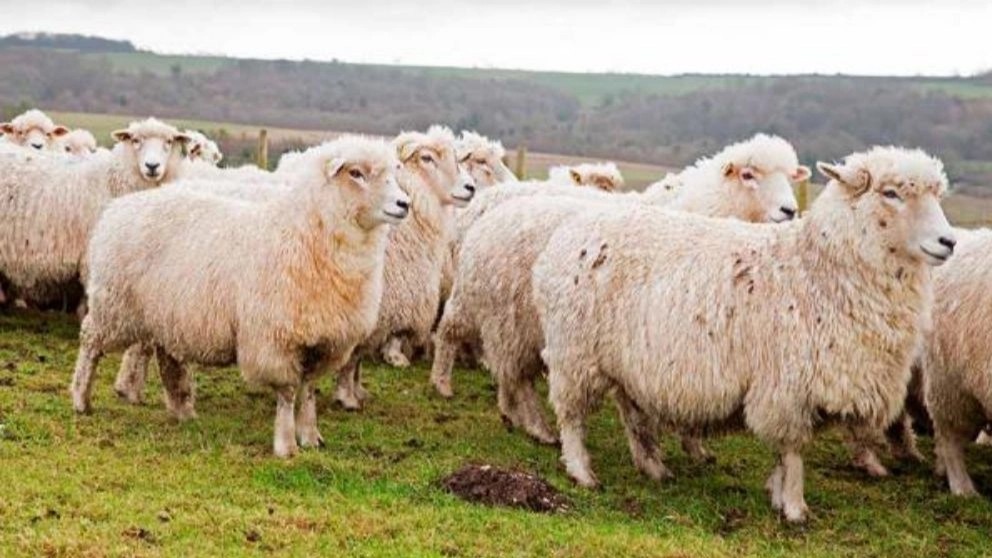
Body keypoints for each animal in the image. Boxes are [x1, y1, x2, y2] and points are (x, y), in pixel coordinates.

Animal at [70, 135, 410, 457]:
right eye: (356, 173)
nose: (404, 204)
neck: (304, 233)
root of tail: (118, 209)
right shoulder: (275, 339)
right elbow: (288, 392)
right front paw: (286, 445)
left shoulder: (325, 340)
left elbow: (309, 390)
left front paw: (311, 437)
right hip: (114, 305)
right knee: (90, 343)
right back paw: (81, 399)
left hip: (168, 314)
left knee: (169, 360)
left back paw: (182, 411)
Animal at [333, 125, 476, 409]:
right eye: (427, 158)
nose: (471, 187)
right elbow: (353, 358)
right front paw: (347, 397)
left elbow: (359, 359)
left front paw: (358, 392)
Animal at [431, 135, 810, 449]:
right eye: (748, 175)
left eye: (791, 177)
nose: (790, 211)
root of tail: (491, 201)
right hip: (491, 302)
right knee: (452, 332)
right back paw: (446, 384)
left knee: (511, 370)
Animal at [530, 146, 954, 522]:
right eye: (891, 193)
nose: (948, 242)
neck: (816, 270)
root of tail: (568, 231)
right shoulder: (787, 386)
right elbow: (793, 450)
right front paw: (795, 507)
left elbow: (784, 453)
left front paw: (778, 493)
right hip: (575, 350)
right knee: (571, 415)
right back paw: (581, 470)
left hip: (624, 363)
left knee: (634, 416)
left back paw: (654, 468)